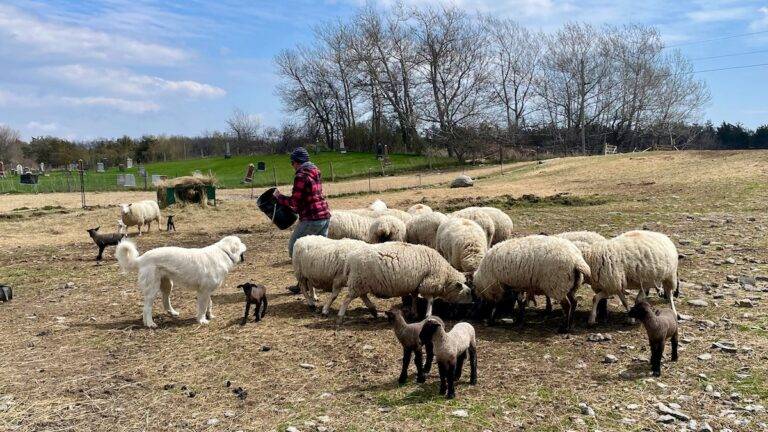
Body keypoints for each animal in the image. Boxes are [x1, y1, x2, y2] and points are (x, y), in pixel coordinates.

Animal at [116, 236, 246, 328]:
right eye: (240, 242)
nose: (245, 244)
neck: (224, 252)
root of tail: (141, 259)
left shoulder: (207, 291)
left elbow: (209, 304)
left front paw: (210, 316)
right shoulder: (203, 292)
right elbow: (202, 308)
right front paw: (202, 320)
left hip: (167, 285)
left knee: (165, 301)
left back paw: (173, 313)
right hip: (152, 290)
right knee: (146, 308)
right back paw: (149, 323)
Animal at [338, 241, 474, 322]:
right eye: (468, 293)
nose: (472, 303)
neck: (445, 275)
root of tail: (349, 259)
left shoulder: (417, 285)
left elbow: (414, 298)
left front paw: (414, 312)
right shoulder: (428, 282)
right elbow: (430, 300)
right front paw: (428, 315)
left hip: (361, 282)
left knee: (362, 296)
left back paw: (374, 311)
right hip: (358, 280)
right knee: (347, 298)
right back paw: (340, 316)